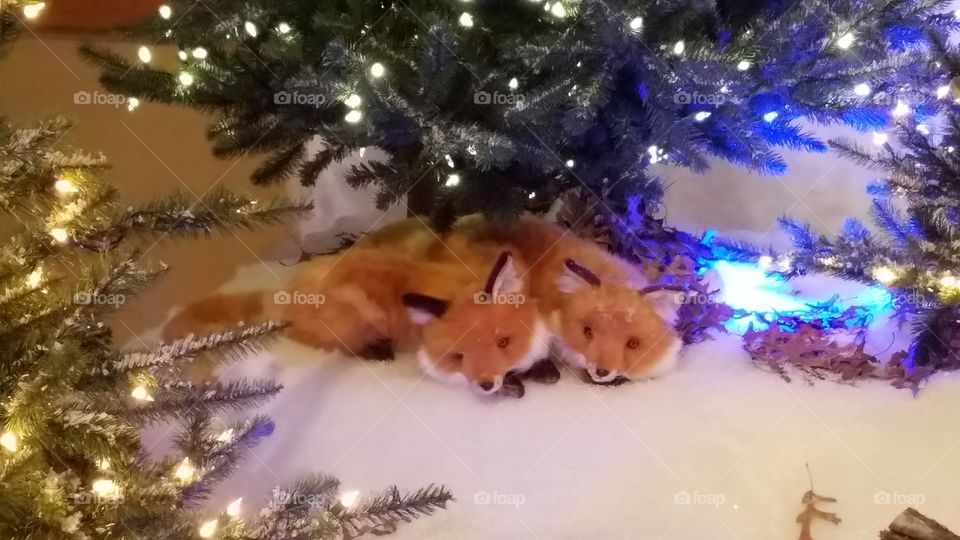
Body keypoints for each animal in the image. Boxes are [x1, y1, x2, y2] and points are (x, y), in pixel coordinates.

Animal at [163, 221, 552, 396]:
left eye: (502, 342)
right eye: (459, 357)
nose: (486, 385)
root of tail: (288, 290)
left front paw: (540, 365)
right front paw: (517, 380)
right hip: (357, 313)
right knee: (324, 341)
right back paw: (375, 350)